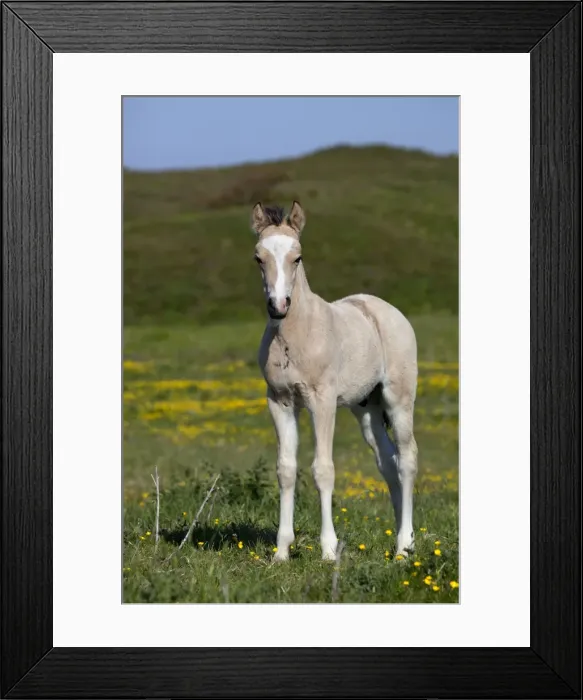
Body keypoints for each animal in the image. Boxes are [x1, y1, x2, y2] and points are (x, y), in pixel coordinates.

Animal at [251, 201, 418, 562]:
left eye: (297, 257)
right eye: (258, 257)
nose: (278, 306)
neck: (295, 336)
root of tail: (388, 310)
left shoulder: (322, 401)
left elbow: (323, 469)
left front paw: (328, 550)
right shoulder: (280, 401)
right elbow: (286, 470)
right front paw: (281, 551)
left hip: (398, 399)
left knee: (407, 459)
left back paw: (404, 546)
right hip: (366, 408)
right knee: (388, 462)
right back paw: (403, 539)